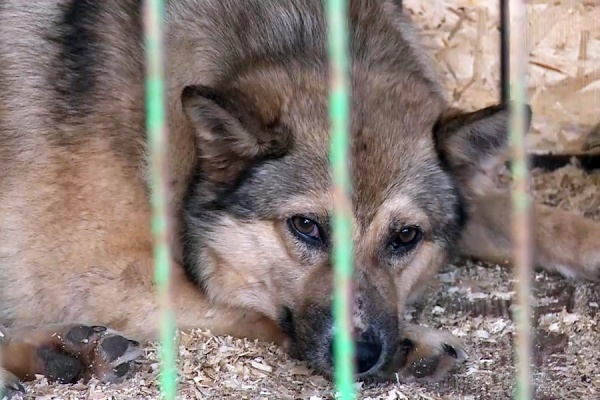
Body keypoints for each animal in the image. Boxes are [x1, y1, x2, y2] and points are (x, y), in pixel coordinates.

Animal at [1, 0, 600, 394]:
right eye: (307, 226)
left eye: (405, 236)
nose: (362, 354)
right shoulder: (98, 273)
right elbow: (243, 305)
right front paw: (413, 343)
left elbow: (524, 215)